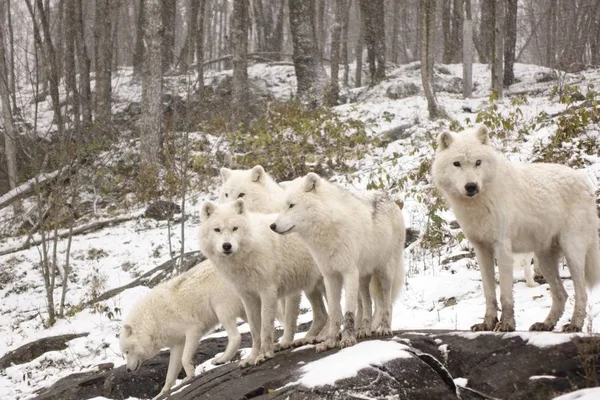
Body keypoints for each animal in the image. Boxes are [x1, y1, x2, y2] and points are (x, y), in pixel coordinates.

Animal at [120, 260, 246, 400]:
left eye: (126, 352)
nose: (127, 370)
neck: (153, 321)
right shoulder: (177, 344)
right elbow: (170, 373)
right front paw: (162, 393)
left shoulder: (193, 330)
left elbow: (185, 359)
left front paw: (190, 375)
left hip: (222, 311)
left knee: (235, 337)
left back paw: (221, 359)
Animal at [197, 202, 328, 368]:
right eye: (217, 229)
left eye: (235, 228)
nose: (227, 246)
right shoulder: (248, 297)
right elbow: (255, 331)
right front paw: (252, 357)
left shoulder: (268, 292)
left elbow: (266, 326)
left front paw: (264, 355)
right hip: (310, 287)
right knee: (322, 315)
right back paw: (308, 338)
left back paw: (325, 336)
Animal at [272, 173, 408, 352]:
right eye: (282, 207)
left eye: (291, 205)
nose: (272, 226)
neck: (327, 226)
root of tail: (390, 199)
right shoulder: (330, 276)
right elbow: (335, 312)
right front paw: (330, 341)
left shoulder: (348, 272)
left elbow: (348, 311)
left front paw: (347, 339)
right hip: (363, 278)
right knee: (368, 303)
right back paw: (364, 330)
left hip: (384, 273)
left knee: (387, 302)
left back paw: (384, 328)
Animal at [432, 125, 600, 332]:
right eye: (457, 164)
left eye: (478, 162)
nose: (471, 186)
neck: (479, 203)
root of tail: (585, 181)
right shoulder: (481, 249)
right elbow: (489, 293)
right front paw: (487, 323)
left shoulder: (502, 247)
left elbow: (505, 294)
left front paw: (506, 324)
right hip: (544, 261)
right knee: (561, 295)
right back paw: (546, 324)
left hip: (572, 252)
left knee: (581, 293)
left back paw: (574, 325)